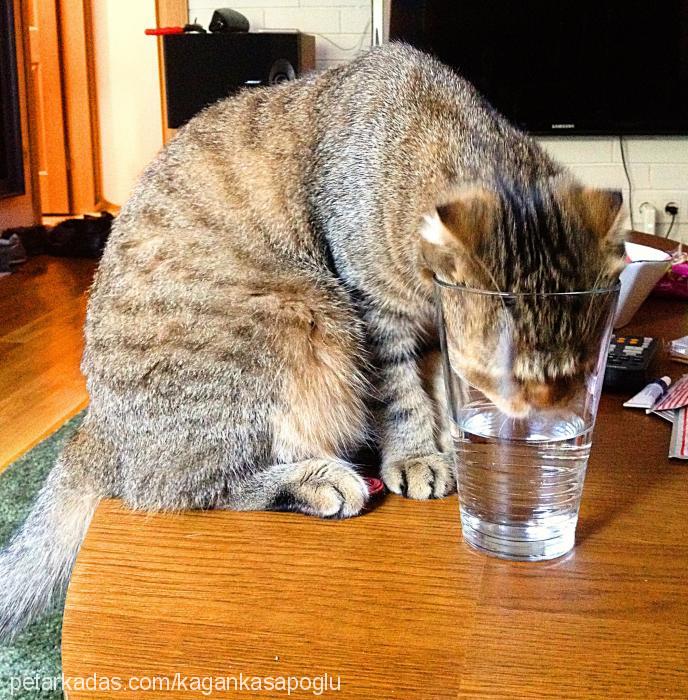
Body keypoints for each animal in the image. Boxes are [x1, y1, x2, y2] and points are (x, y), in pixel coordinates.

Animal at [0, 41, 624, 636]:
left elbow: (438, 390)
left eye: (579, 372)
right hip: (293, 319)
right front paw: (417, 453)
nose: (540, 422)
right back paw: (319, 480)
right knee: (188, 487)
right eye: (506, 376)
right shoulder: (375, 313)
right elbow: (400, 396)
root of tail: (96, 428)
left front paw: (449, 437)